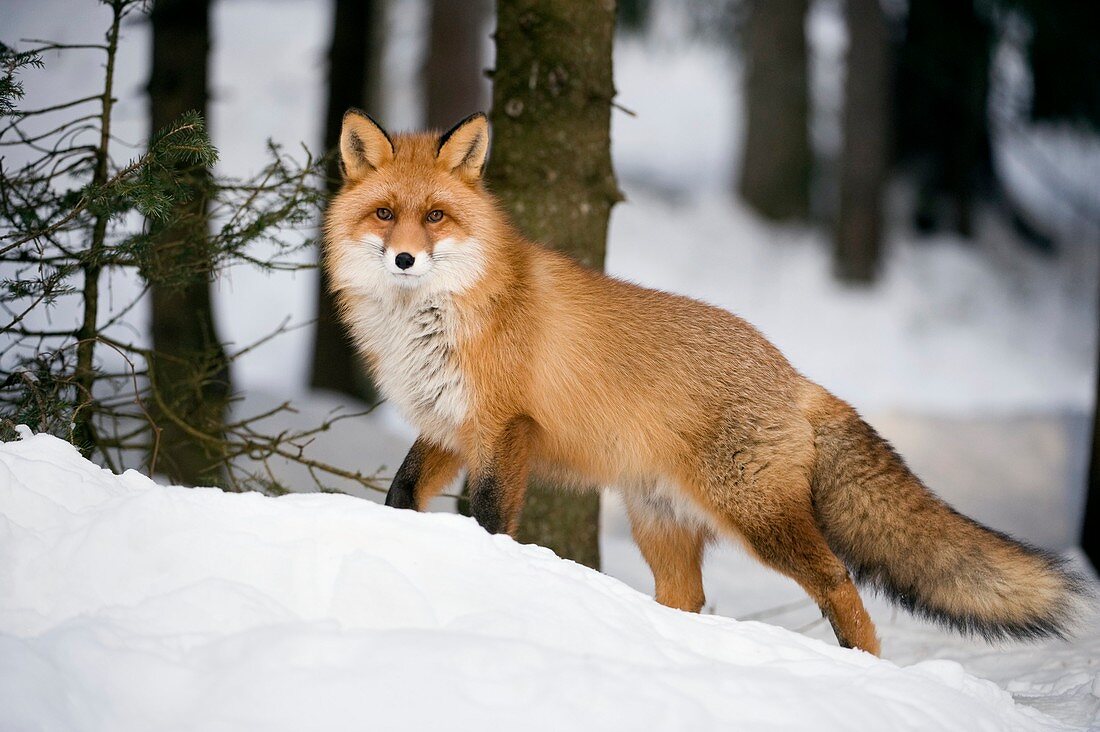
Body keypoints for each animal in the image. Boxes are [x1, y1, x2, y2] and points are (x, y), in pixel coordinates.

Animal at [323, 110, 1082, 656]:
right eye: (386, 213)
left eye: (437, 216)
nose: (404, 258)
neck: (430, 321)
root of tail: (794, 373)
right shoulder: (446, 424)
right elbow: (400, 494)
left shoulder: (502, 429)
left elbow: (487, 520)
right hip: (661, 524)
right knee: (687, 599)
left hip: (759, 520)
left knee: (839, 581)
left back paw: (865, 666)